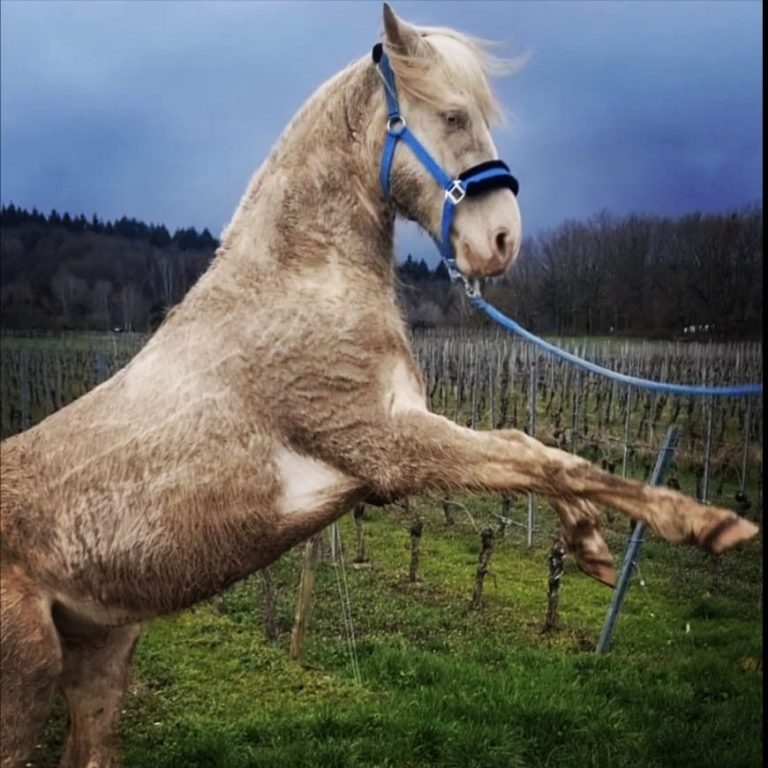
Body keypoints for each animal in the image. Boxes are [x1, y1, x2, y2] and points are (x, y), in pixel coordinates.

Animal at [0, 5, 758, 766]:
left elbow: (531, 449)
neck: (298, 282)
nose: (501, 241)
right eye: (453, 115)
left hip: (101, 655)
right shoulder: (387, 447)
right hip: (27, 683)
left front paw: (593, 546)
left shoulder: (403, 430)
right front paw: (706, 525)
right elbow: (538, 454)